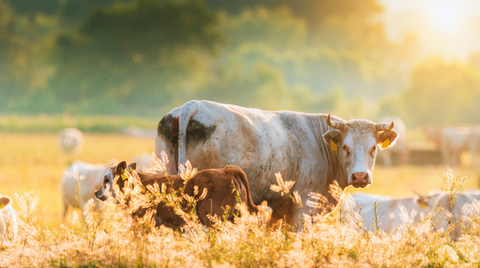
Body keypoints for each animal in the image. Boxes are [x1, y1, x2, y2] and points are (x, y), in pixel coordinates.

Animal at [156, 100, 400, 226]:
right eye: (345, 147)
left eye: (374, 148)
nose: (360, 176)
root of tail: (193, 105)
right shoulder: (303, 212)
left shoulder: (278, 213)